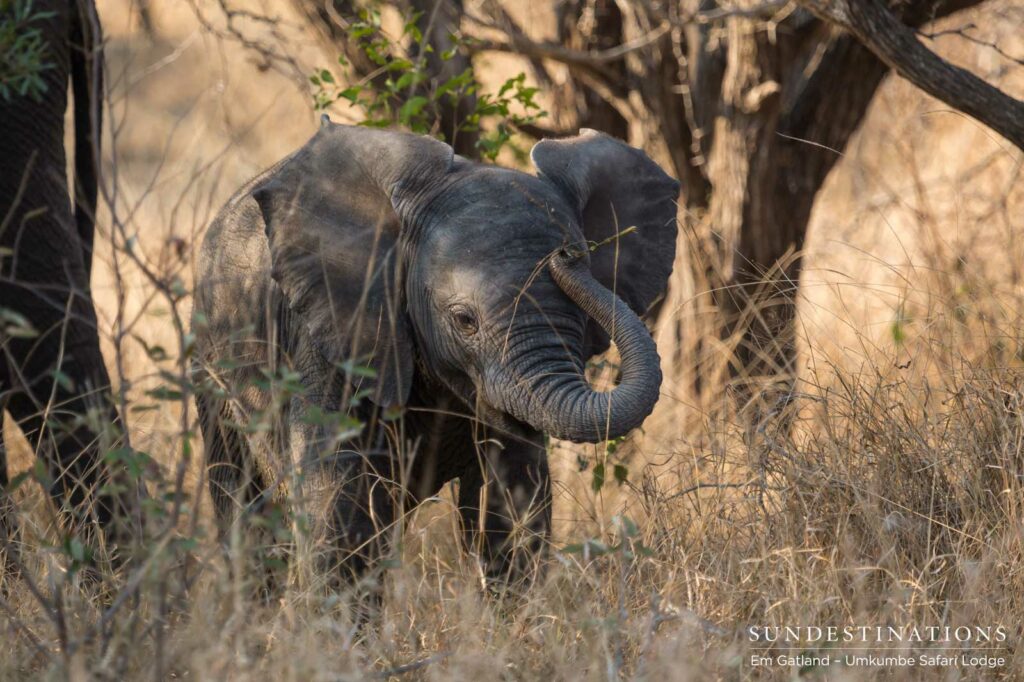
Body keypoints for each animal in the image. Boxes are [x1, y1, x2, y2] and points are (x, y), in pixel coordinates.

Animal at [192, 120, 679, 593]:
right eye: (464, 321)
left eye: (579, 316)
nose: (568, 255)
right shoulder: (333, 334)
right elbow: (337, 498)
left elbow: (514, 496)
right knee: (243, 504)